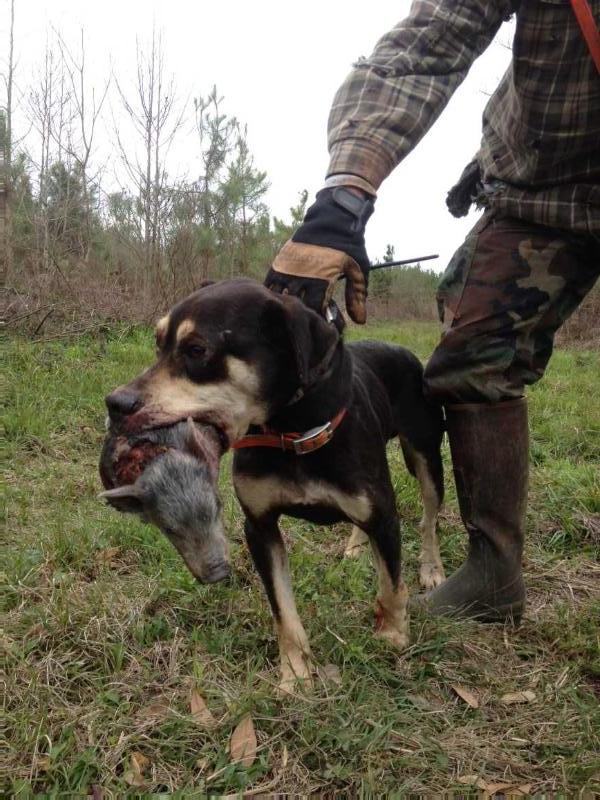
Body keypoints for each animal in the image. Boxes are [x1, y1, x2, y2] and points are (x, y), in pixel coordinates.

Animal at [104, 278, 446, 692]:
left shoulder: (383, 514)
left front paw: (393, 633)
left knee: (429, 518)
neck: (291, 431)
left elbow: (392, 582)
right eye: (158, 344)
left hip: (427, 457)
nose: (114, 403)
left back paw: (431, 568)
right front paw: (295, 673)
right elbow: (283, 608)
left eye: (197, 349)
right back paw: (355, 545)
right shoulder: (260, 526)